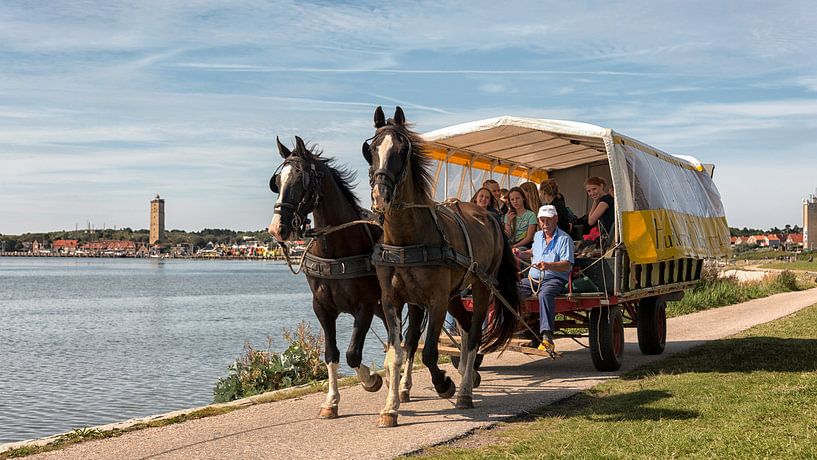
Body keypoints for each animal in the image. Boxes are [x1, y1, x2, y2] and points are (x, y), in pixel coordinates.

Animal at [268, 136, 428, 416]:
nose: (277, 228)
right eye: (277, 182)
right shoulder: (322, 307)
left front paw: (371, 380)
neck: (337, 249)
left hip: (411, 301)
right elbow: (331, 353)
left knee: (409, 342)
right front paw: (331, 401)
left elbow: (353, 353)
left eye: (300, 179)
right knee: (394, 339)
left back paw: (403, 385)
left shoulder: (364, 306)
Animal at [360, 107, 520, 428]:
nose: (380, 197)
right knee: (461, 328)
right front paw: (391, 406)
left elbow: (431, 353)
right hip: (453, 295)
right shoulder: (393, 301)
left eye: (402, 150)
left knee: (473, 333)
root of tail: (488, 215)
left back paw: (465, 390)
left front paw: (444, 383)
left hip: (481, 287)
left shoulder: (435, 300)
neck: (407, 238)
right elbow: (397, 353)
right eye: (371, 150)